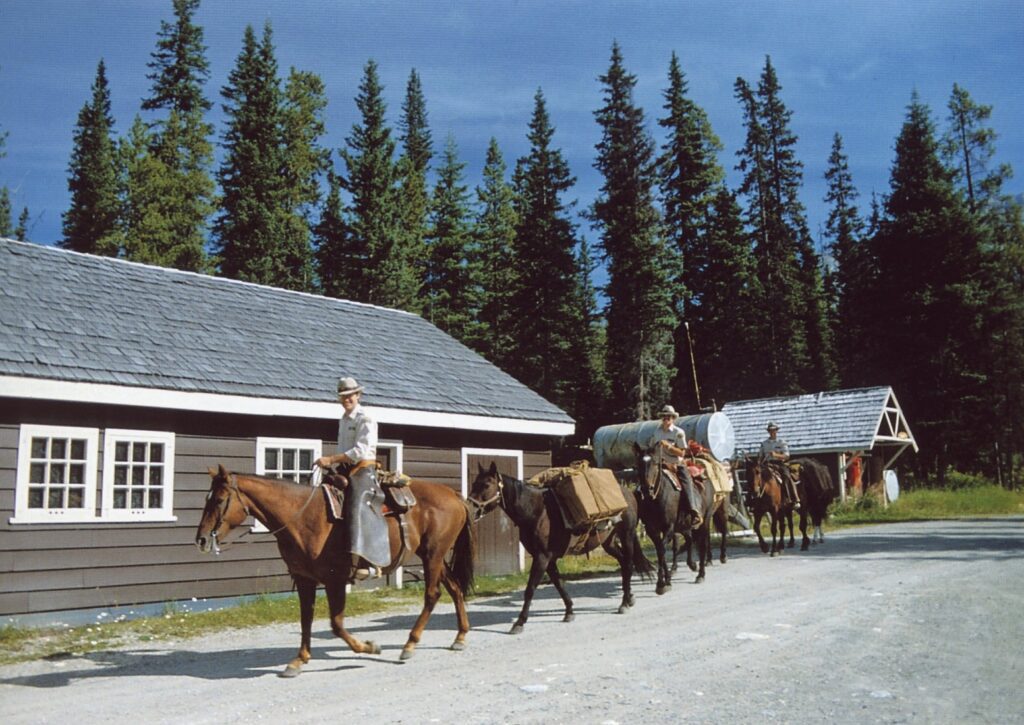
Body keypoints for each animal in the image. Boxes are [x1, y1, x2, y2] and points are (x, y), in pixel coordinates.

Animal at [193, 464, 473, 675]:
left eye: (219, 500)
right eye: (206, 498)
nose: (202, 540)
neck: (303, 518)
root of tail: (452, 494)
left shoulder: (334, 580)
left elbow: (336, 625)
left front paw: (370, 647)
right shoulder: (304, 579)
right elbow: (306, 618)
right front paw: (299, 660)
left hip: (433, 555)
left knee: (432, 595)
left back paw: (410, 645)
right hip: (433, 555)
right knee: (454, 588)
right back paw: (459, 637)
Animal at [466, 464, 651, 634]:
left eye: (486, 485)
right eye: (474, 483)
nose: (470, 508)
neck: (537, 512)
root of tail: (628, 493)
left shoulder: (542, 557)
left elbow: (530, 589)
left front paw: (519, 622)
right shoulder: (548, 558)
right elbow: (559, 583)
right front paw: (569, 611)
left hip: (627, 536)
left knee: (628, 564)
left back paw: (624, 603)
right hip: (608, 542)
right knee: (624, 563)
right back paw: (629, 598)